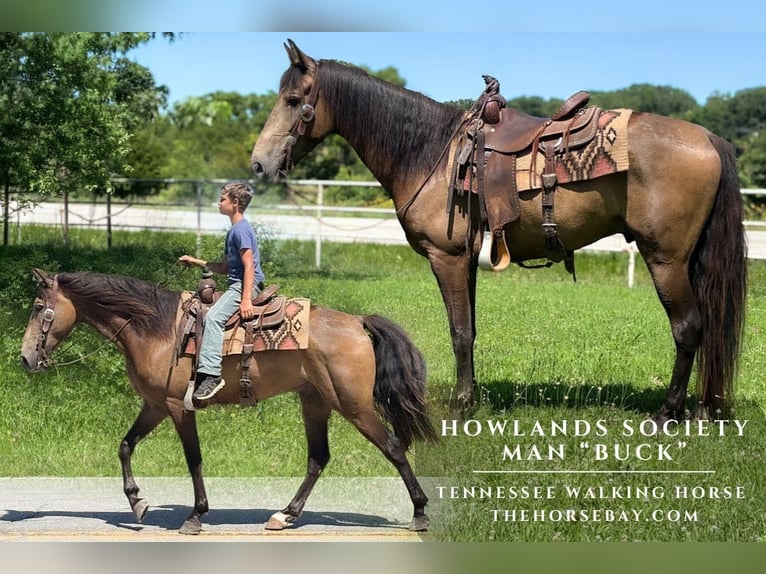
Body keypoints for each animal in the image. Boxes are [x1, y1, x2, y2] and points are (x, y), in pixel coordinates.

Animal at [19, 269, 437, 534]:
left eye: (39, 308)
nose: (24, 358)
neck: (155, 327)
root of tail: (357, 322)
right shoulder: (154, 406)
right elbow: (125, 446)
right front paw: (137, 502)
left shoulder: (177, 407)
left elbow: (194, 460)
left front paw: (195, 516)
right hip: (315, 402)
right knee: (318, 458)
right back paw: (285, 515)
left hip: (352, 405)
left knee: (393, 447)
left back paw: (420, 513)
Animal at [250, 39, 748, 422]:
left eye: (293, 101)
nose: (258, 164)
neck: (430, 151)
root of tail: (708, 139)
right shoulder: (467, 258)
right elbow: (469, 329)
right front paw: (471, 398)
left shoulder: (447, 257)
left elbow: (458, 331)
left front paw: (460, 404)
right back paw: (702, 407)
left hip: (665, 258)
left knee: (688, 328)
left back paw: (669, 412)